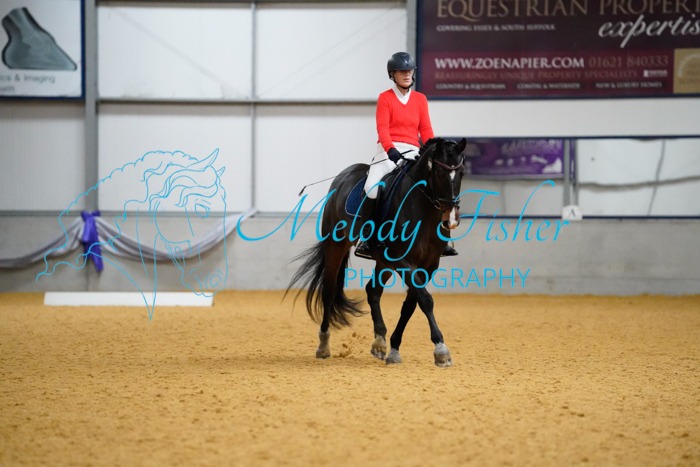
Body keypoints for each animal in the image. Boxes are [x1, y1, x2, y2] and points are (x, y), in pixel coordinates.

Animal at [287, 137, 467, 367]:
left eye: (461, 173)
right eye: (440, 173)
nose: (451, 219)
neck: (422, 210)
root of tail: (343, 176)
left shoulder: (430, 264)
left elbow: (412, 303)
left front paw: (394, 348)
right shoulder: (403, 260)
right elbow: (425, 299)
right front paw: (441, 350)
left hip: (383, 261)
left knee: (373, 290)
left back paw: (379, 342)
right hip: (336, 245)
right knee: (329, 290)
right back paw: (323, 346)